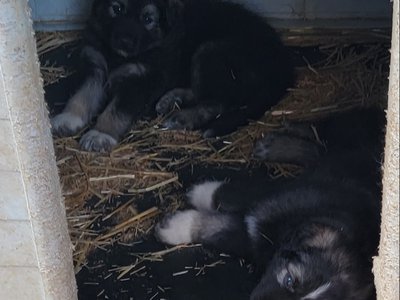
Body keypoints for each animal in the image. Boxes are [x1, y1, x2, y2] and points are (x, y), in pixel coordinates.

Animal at [50, 0, 294, 151]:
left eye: (148, 19)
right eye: (117, 9)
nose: (124, 42)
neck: (117, 56)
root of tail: (283, 65)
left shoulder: (139, 79)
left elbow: (117, 110)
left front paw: (100, 134)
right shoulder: (95, 65)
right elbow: (82, 95)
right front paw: (69, 118)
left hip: (211, 50)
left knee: (219, 101)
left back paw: (183, 117)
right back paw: (171, 99)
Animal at [155, 108, 384, 300]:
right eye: (289, 279)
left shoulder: (253, 241)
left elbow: (218, 228)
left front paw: (176, 226)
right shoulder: (277, 197)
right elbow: (230, 196)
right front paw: (196, 196)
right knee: (318, 144)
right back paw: (280, 140)